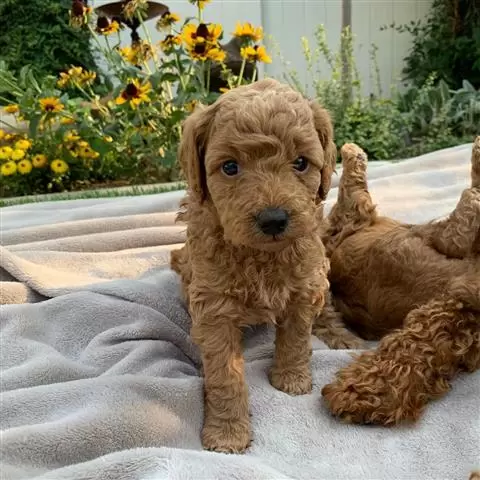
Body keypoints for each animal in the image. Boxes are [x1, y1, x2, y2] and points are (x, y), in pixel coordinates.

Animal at [171, 79, 354, 454]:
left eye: (300, 163)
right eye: (229, 167)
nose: (273, 219)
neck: (260, 256)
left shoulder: (304, 284)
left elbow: (296, 336)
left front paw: (292, 379)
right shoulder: (214, 308)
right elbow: (225, 374)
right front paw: (227, 433)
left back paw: (341, 338)